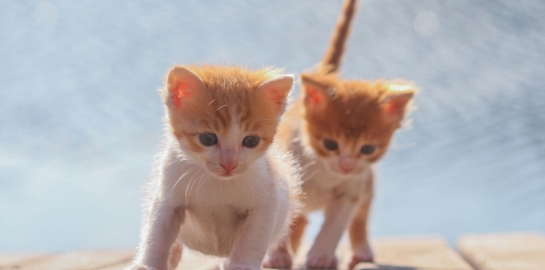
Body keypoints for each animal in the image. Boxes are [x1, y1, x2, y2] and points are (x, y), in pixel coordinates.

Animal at [125, 65, 300, 270]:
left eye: (251, 141)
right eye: (207, 138)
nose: (229, 164)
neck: (216, 181)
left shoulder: (267, 199)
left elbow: (252, 240)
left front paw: (243, 265)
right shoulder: (167, 194)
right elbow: (156, 233)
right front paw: (147, 264)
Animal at [264, 0, 416, 270]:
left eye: (367, 149)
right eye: (330, 144)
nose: (346, 165)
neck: (322, 169)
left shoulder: (352, 188)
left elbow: (335, 224)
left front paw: (321, 256)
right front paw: (277, 256)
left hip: (367, 183)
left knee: (359, 218)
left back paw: (361, 251)